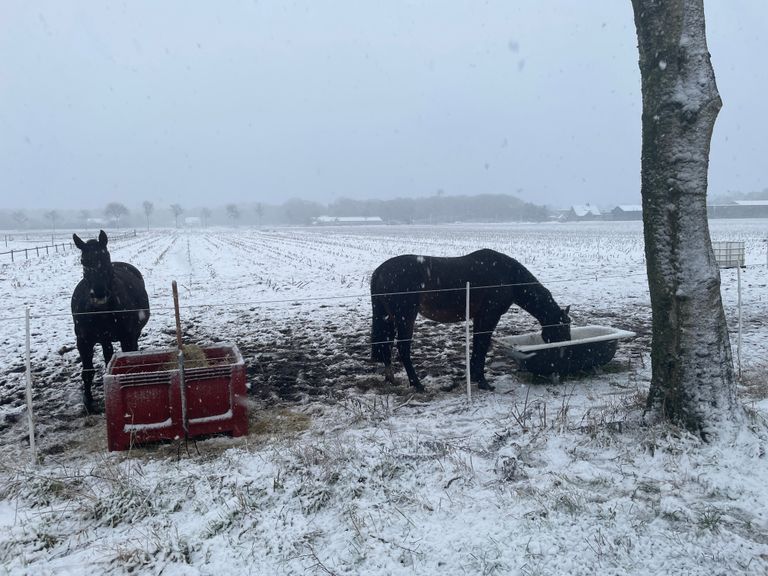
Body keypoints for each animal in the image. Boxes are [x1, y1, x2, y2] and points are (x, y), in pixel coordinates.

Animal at [71, 230, 150, 410]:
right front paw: (88, 402)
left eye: (106, 256)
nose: (99, 293)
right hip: (105, 339)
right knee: (108, 357)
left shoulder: (127, 337)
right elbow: (87, 372)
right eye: (83, 261)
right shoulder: (83, 341)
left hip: (132, 335)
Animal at [368, 249, 572, 392]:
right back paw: (417, 384)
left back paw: (392, 379)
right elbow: (482, 344)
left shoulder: (480, 317)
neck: (508, 276)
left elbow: (477, 344)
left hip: (389, 317)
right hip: (405, 317)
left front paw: (475, 377)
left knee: (385, 345)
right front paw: (483, 382)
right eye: (562, 329)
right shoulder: (490, 316)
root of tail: (379, 271)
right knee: (403, 348)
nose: (564, 353)